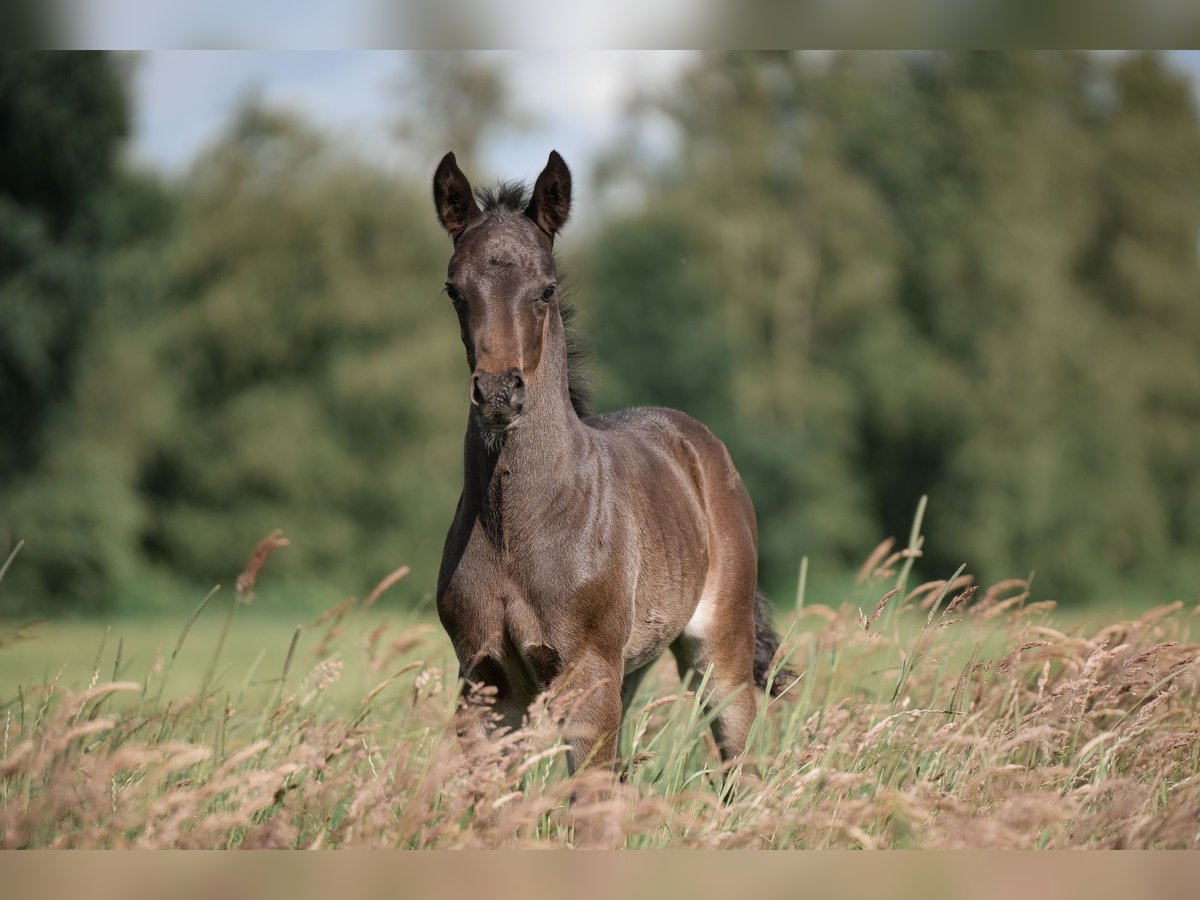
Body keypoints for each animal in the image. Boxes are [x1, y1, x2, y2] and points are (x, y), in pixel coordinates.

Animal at [432, 151, 787, 777]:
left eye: (546, 289)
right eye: (454, 290)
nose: (499, 393)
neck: (513, 529)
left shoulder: (587, 673)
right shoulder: (483, 682)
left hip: (718, 651)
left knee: (737, 755)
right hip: (632, 664)